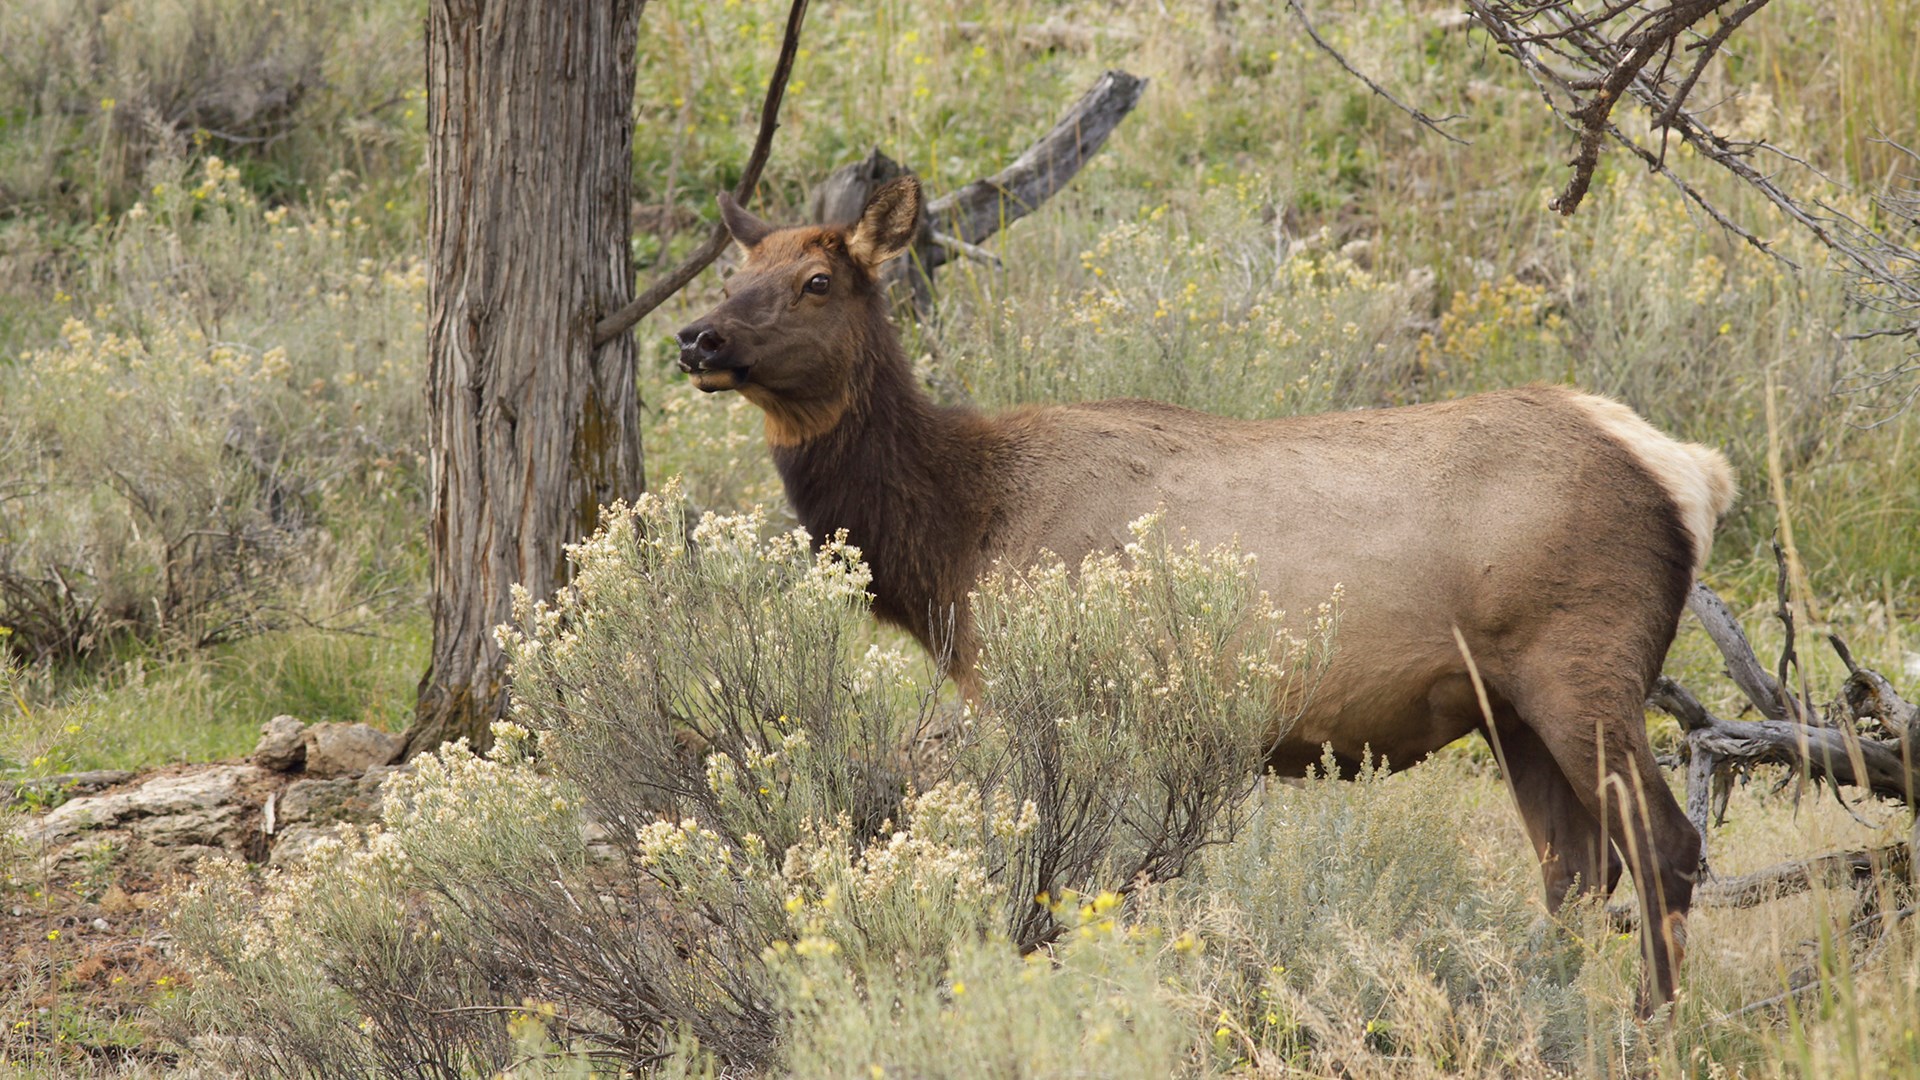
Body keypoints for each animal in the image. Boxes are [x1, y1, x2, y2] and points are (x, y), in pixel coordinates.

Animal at [675, 176, 1737, 1011]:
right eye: (733, 273)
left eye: (817, 283)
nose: (696, 337)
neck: (955, 536)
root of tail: (1691, 472)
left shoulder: (1066, 702)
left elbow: (1076, 885)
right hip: (1507, 703)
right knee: (1576, 868)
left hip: (1580, 662)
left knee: (1666, 846)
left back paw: (1648, 1026)